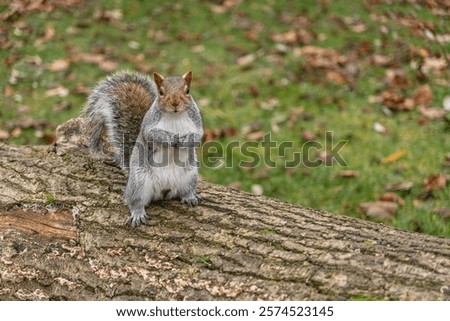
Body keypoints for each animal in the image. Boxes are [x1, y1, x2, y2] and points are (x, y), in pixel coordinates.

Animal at [82, 70, 204, 226]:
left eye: (187, 91)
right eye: (161, 92)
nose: (175, 103)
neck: (175, 116)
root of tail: (164, 190)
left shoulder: (196, 122)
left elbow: (198, 135)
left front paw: (184, 141)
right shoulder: (149, 124)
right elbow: (151, 134)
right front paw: (170, 138)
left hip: (190, 175)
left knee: (185, 190)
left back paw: (190, 196)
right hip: (139, 182)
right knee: (134, 201)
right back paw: (137, 213)